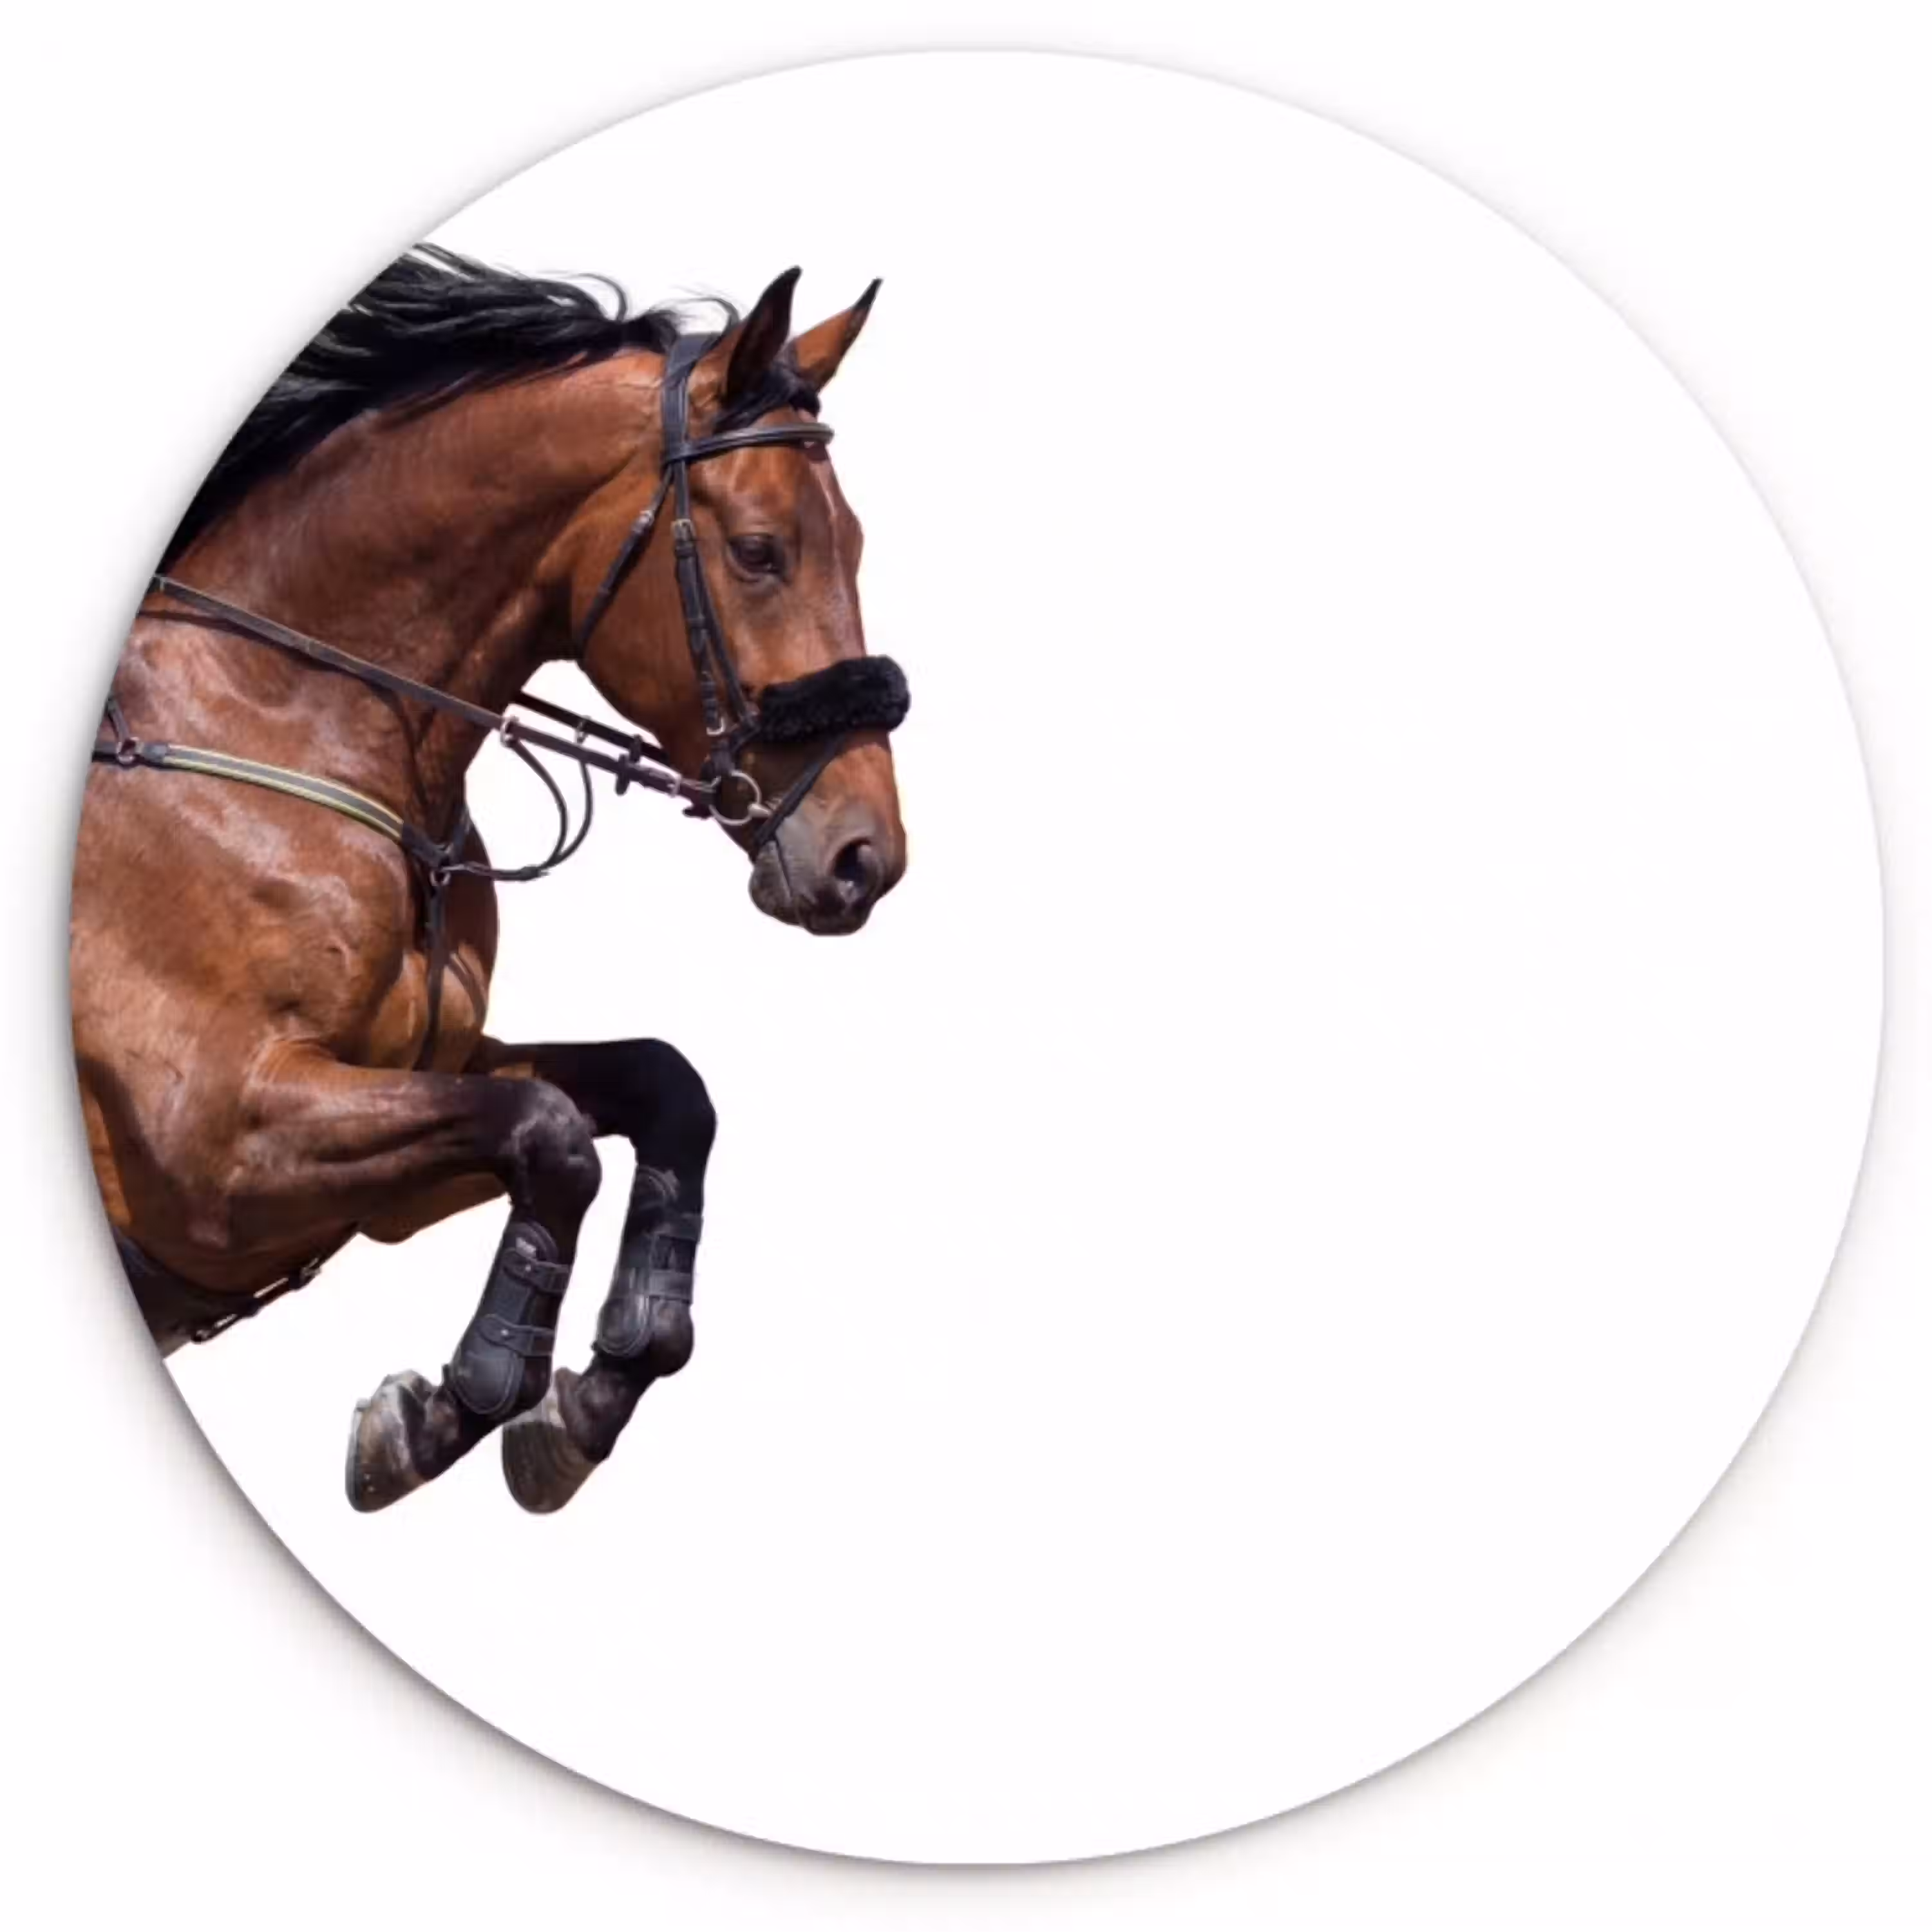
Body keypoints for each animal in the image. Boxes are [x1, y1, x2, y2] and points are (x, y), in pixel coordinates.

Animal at [68, 246, 909, 1514]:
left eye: (853, 544)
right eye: (760, 551)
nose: (868, 859)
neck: (286, 718)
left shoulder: (397, 1134)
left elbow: (661, 1088)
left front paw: (593, 1392)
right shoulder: (219, 1148)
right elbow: (552, 1135)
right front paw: (448, 1409)